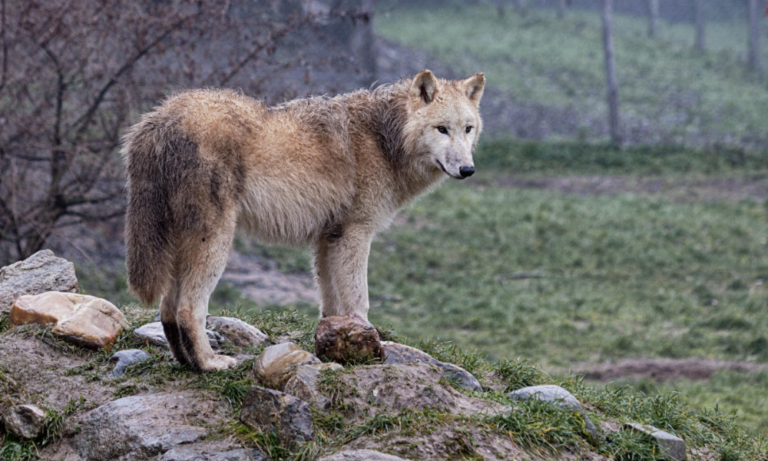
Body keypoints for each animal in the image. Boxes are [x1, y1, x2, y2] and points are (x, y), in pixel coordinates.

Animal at [123, 70, 485, 371]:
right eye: (442, 129)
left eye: (468, 129)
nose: (468, 170)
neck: (383, 140)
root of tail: (158, 120)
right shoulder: (356, 234)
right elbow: (360, 301)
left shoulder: (328, 238)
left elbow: (331, 304)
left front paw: (337, 341)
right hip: (215, 243)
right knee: (188, 308)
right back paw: (210, 364)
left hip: (182, 243)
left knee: (167, 307)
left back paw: (187, 363)